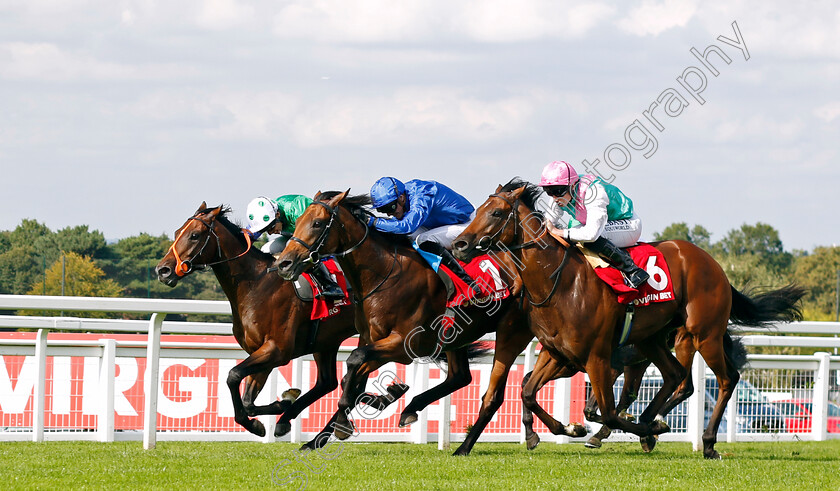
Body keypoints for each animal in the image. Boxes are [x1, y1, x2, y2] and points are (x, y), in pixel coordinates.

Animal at [272, 192, 540, 458]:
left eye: (317, 223)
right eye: (297, 222)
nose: (284, 263)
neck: (383, 274)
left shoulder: (404, 344)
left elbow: (355, 362)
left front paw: (348, 418)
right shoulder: (372, 338)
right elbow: (354, 377)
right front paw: (323, 434)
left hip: (510, 333)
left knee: (493, 394)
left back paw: (464, 447)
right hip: (457, 336)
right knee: (460, 377)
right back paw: (412, 408)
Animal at [450, 181, 804, 462]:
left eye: (496, 213)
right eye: (478, 209)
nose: (459, 245)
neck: (559, 283)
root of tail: (713, 264)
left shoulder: (597, 357)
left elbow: (607, 412)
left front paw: (617, 429)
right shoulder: (557, 352)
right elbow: (527, 391)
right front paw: (562, 429)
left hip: (704, 334)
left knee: (727, 378)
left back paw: (705, 443)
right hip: (653, 339)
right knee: (677, 376)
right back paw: (652, 424)